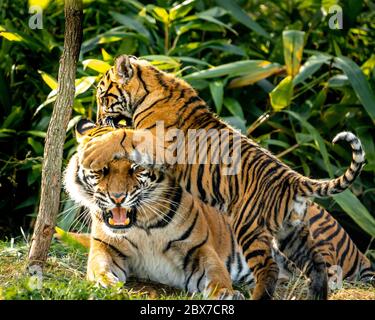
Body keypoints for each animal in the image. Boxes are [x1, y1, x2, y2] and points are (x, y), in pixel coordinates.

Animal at [80, 55, 368, 300]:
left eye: (102, 96)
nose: (98, 119)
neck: (152, 85)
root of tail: (293, 179)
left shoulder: (155, 143)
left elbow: (124, 134)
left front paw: (97, 148)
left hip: (250, 227)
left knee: (269, 269)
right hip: (292, 232)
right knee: (316, 265)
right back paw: (317, 295)